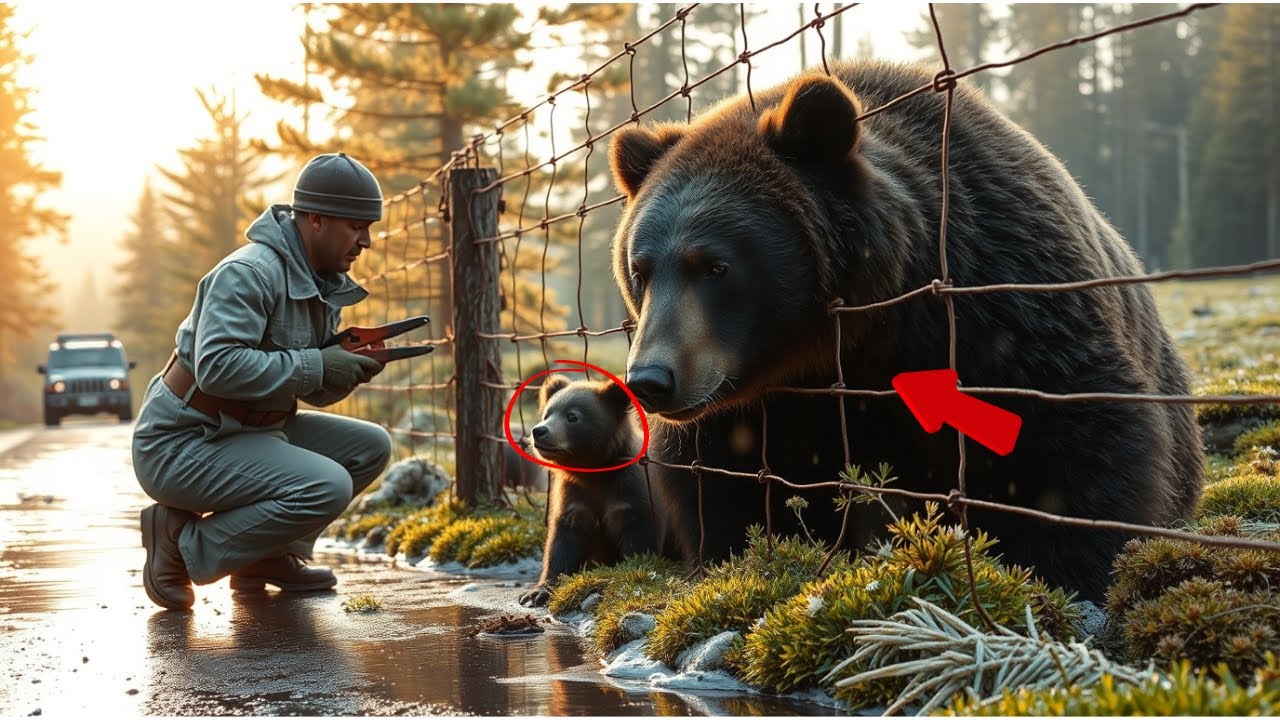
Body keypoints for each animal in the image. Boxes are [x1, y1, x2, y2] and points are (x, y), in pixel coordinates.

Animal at [517, 373, 663, 607]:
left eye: (572, 416)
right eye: (547, 413)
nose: (538, 431)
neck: (593, 472)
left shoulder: (632, 496)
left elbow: (640, 538)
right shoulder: (574, 497)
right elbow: (562, 543)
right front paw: (536, 592)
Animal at [606, 59, 1203, 602]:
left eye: (716, 266)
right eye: (641, 269)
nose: (651, 379)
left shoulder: (999, 300)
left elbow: (1070, 435)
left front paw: (1070, 568)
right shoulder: (758, 402)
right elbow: (724, 481)